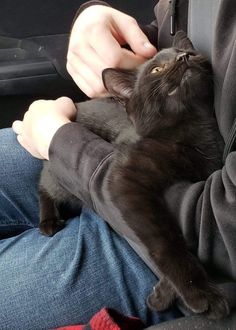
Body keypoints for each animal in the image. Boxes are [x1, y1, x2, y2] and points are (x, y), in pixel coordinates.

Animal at [38, 31, 229, 320]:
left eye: (191, 54)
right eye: (157, 69)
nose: (184, 58)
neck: (192, 129)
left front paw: (162, 294)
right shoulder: (122, 179)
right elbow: (162, 238)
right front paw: (200, 291)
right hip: (57, 179)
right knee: (42, 185)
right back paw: (48, 220)